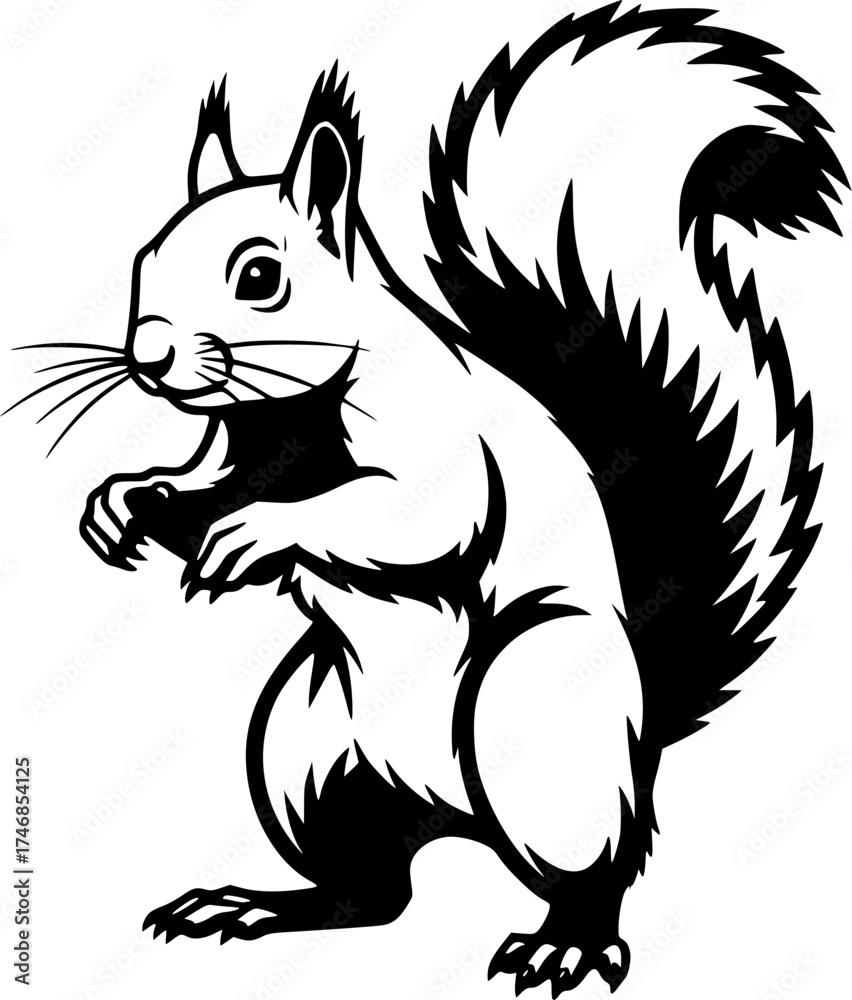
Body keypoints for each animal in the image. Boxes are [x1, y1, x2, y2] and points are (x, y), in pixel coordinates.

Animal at [12, 4, 844, 996]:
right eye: (144, 258)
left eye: (260, 277)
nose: (150, 357)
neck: (293, 414)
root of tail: (452, 811)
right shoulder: (243, 451)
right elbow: (200, 494)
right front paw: (126, 501)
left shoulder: (441, 444)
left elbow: (414, 516)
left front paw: (257, 535)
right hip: (304, 754)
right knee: (373, 891)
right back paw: (254, 908)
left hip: (528, 711)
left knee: (596, 870)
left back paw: (565, 941)